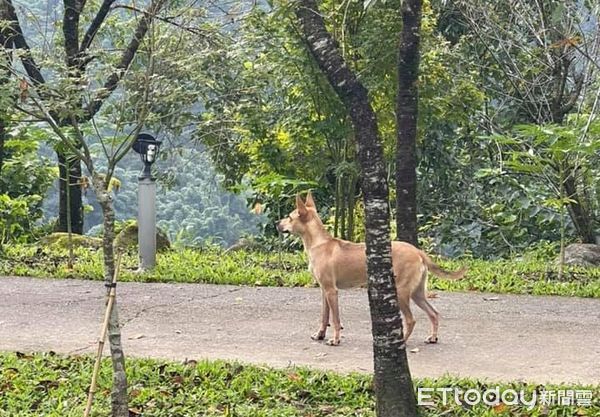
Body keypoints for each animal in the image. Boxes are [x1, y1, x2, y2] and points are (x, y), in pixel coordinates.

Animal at [274, 191, 466, 344]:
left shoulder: (331, 291)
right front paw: (320, 335)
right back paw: (433, 337)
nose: (277, 223)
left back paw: (401, 341)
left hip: (402, 292)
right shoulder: (324, 291)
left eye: (289, 217)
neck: (318, 243)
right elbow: (324, 317)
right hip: (417, 293)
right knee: (433, 313)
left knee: (411, 320)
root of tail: (418, 251)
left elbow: (335, 319)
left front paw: (335, 339)